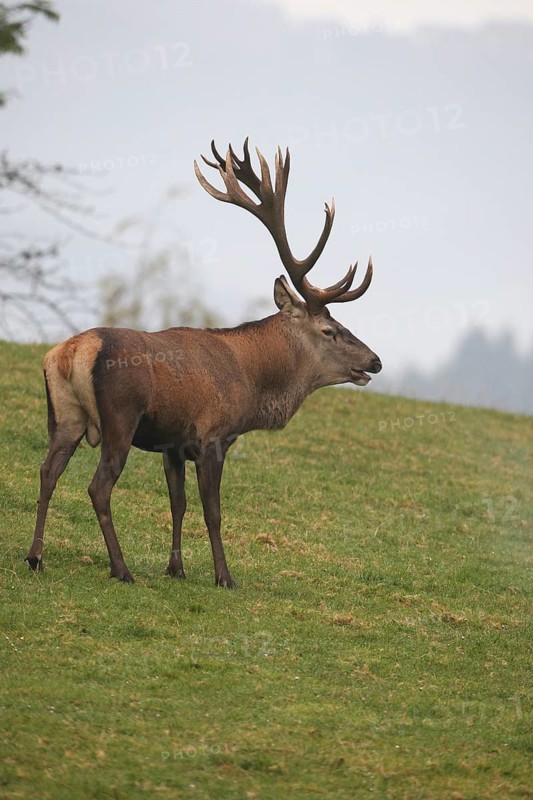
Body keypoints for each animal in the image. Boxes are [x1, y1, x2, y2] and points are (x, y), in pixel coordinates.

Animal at [25, 138, 382, 588]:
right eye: (330, 330)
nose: (375, 360)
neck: (254, 382)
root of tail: (74, 350)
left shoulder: (173, 443)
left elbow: (177, 503)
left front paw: (175, 568)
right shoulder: (213, 436)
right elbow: (213, 512)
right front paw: (224, 576)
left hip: (65, 415)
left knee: (47, 472)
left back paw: (35, 557)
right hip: (120, 416)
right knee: (98, 487)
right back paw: (120, 568)